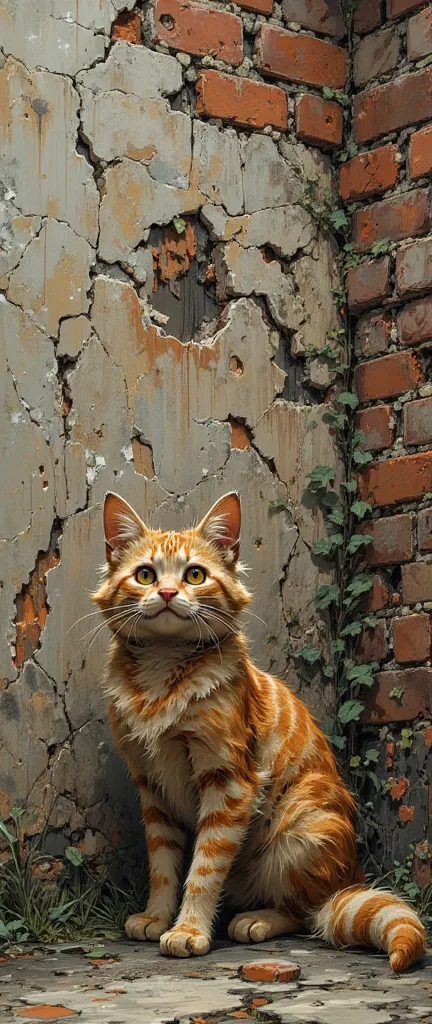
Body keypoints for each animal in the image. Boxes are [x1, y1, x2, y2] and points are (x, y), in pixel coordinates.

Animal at [92, 491, 427, 970]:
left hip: (301, 830)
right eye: (145, 575)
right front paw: (157, 916)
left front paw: (189, 930)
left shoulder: (228, 780)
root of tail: (353, 875)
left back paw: (256, 920)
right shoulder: (152, 787)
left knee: (310, 912)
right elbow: (164, 865)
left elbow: (204, 867)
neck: (163, 669)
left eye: (195, 575)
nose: (168, 592)